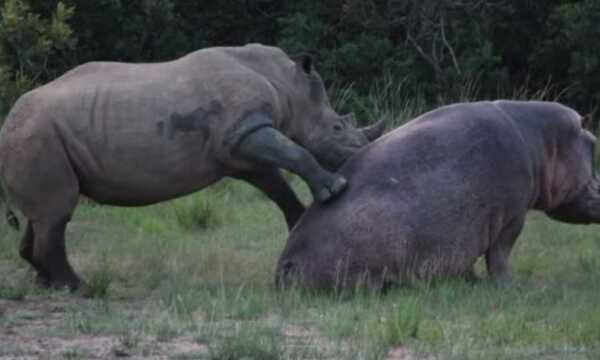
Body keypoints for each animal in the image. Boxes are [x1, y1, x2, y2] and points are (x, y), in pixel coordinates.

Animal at [0, 43, 384, 290]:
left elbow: (277, 184)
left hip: (36, 136)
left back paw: (46, 282)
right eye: (337, 128)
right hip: (36, 135)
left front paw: (300, 222)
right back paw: (77, 287)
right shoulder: (246, 131)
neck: (286, 84)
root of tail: (6, 123)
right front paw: (336, 189)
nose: (362, 151)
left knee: (44, 213)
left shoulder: (239, 146)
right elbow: (295, 154)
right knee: (57, 210)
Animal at [276, 100, 600, 290]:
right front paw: (508, 286)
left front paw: (472, 281)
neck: (545, 141)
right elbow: (500, 254)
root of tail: (286, 263)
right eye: (594, 142)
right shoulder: (512, 217)